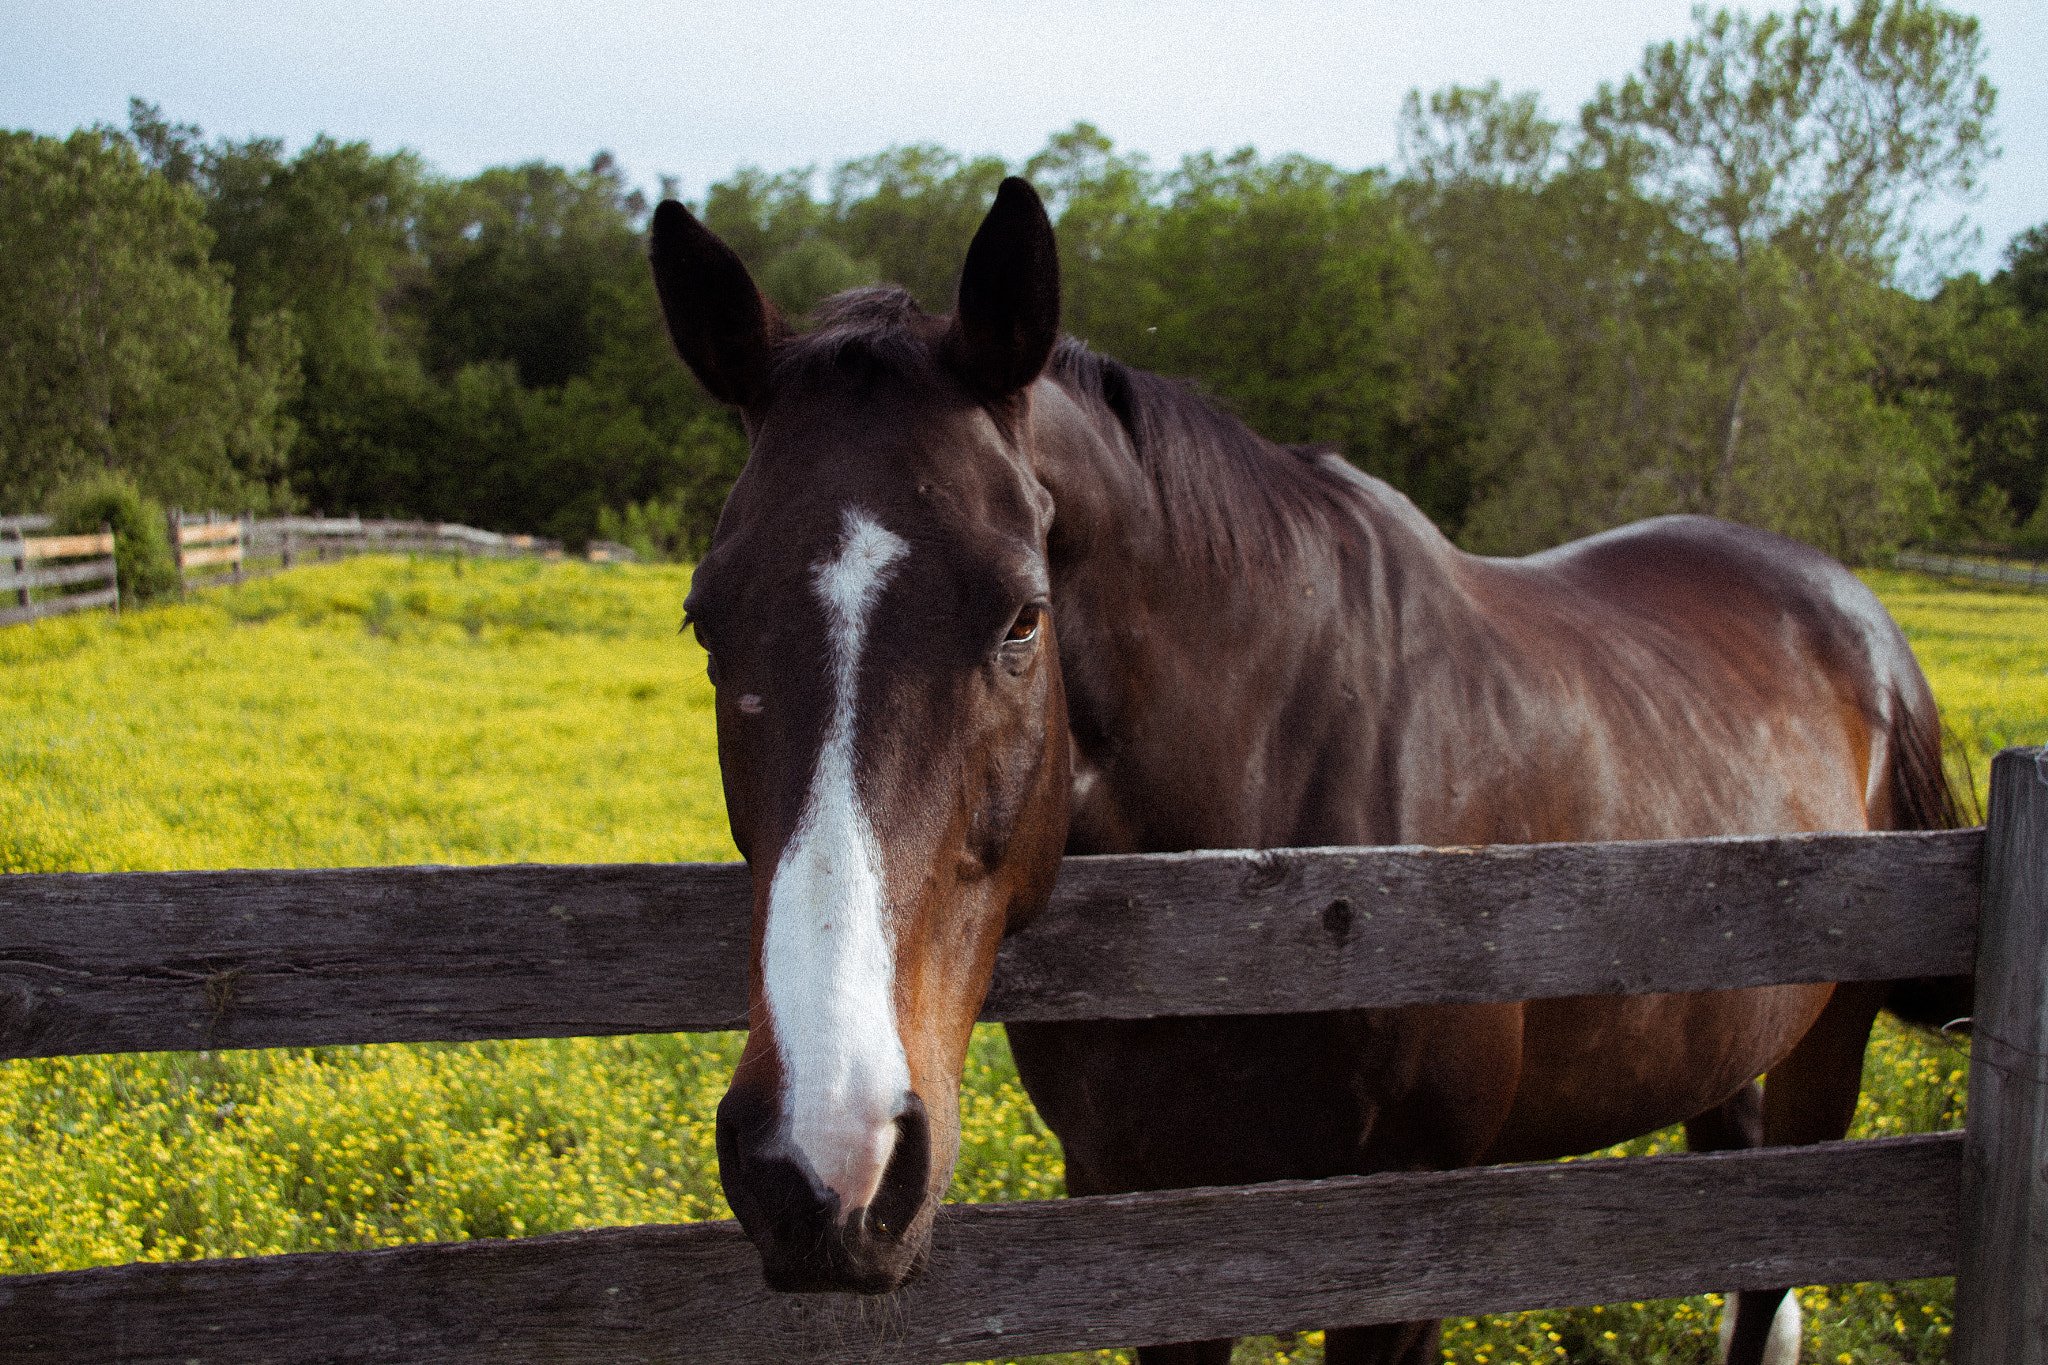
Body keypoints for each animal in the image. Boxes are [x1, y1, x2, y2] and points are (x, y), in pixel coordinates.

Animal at [647, 175, 1957, 1358]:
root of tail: (1855, 617)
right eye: (706, 623)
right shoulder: (1143, 1210)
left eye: (1022, 619)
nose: (825, 1162)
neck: (1273, 867)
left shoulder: (1399, 1242)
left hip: (1823, 1068)